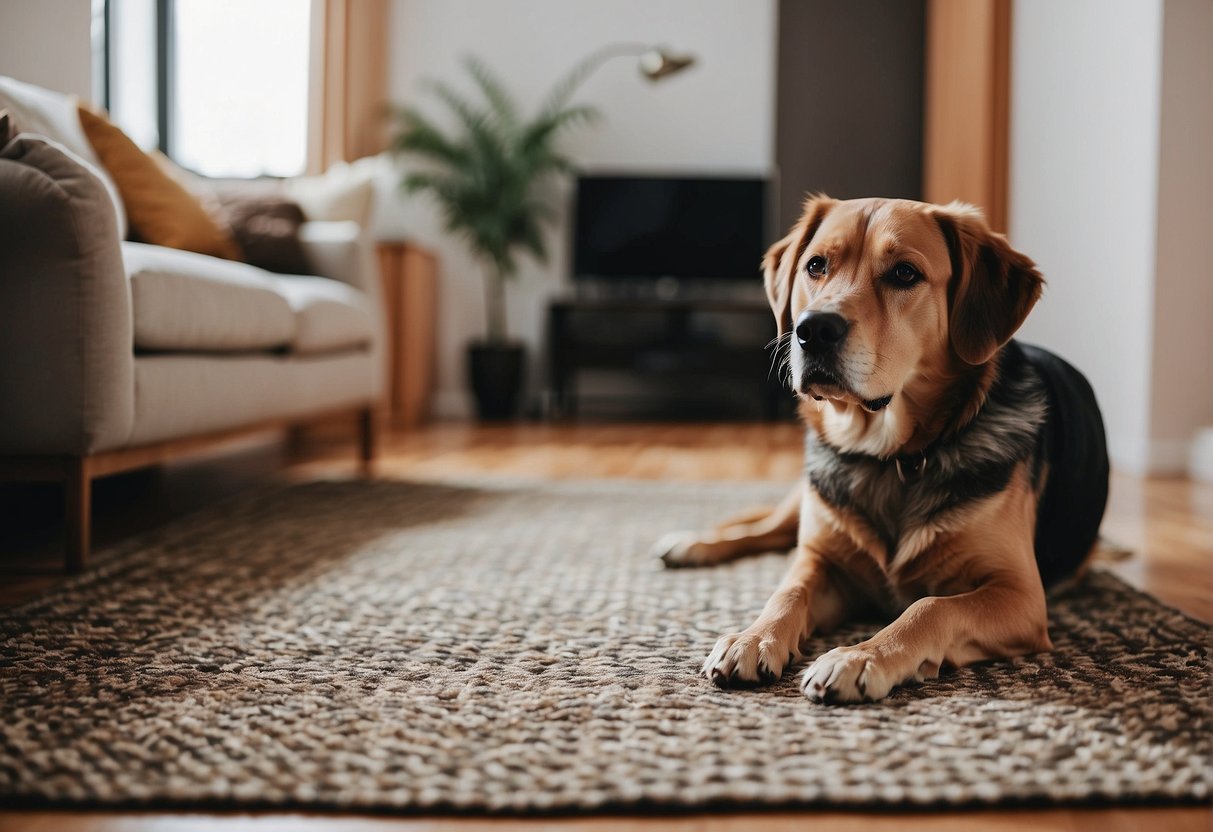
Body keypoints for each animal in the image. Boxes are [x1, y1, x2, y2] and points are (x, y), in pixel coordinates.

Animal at [655, 195, 1111, 703]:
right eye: (816, 266)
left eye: (905, 274)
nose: (813, 330)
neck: (891, 457)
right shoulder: (820, 559)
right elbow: (787, 591)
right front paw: (753, 638)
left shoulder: (1021, 596)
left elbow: (930, 606)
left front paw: (859, 657)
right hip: (809, 499)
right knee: (762, 529)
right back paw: (694, 544)